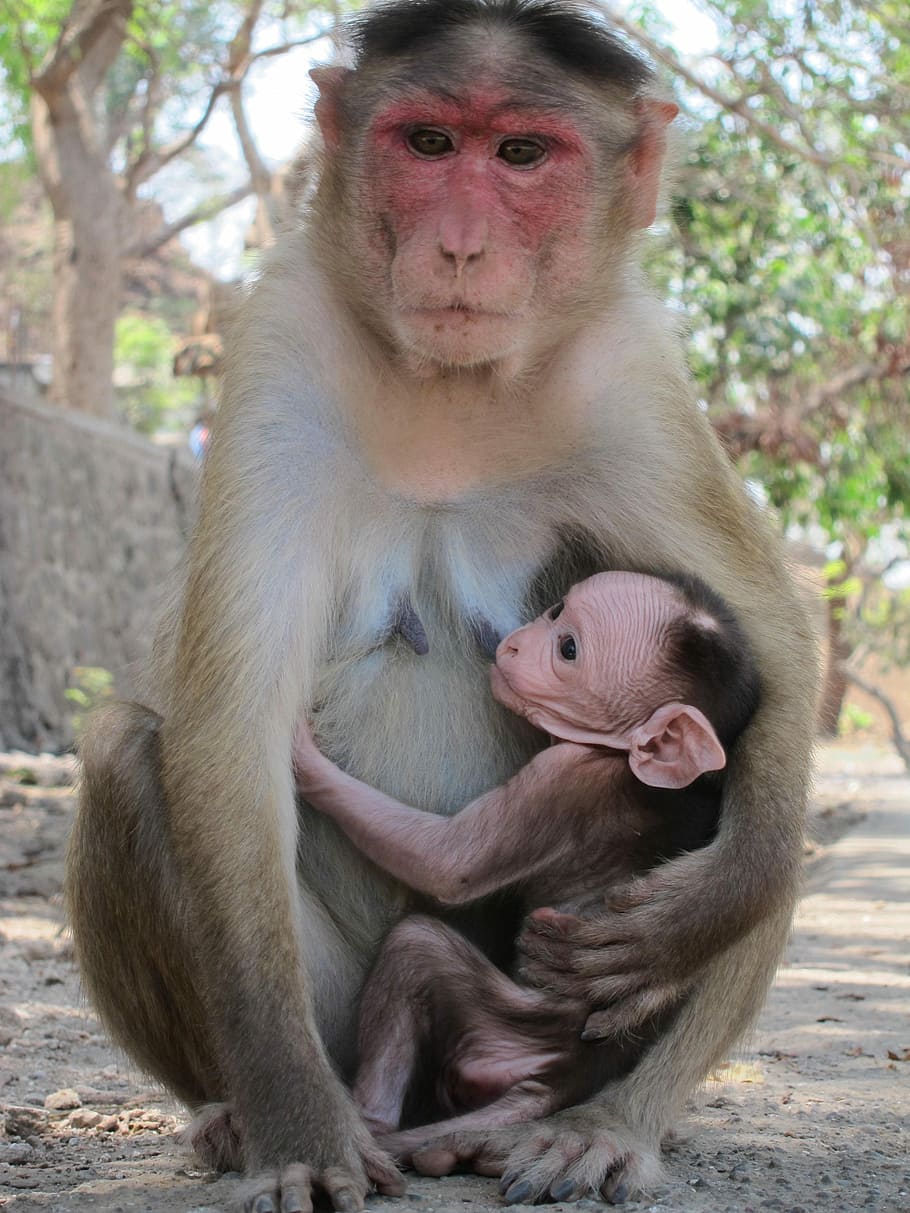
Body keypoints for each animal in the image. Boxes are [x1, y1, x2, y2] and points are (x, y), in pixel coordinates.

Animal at [291, 570, 761, 1156]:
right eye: (555, 611)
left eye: (568, 650)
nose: (513, 644)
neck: (614, 754)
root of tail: (569, 1074)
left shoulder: (564, 776)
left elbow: (451, 864)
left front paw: (305, 760)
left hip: (511, 1029)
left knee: (416, 947)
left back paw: (370, 1126)